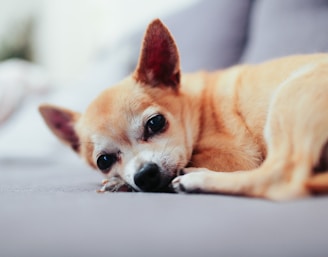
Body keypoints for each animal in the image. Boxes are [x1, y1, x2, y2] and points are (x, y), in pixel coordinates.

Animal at [39, 19, 328, 200]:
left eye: (155, 123)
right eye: (104, 161)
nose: (144, 175)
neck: (198, 107)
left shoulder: (235, 158)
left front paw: (120, 183)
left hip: (290, 95)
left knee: (279, 177)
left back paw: (197, 179)